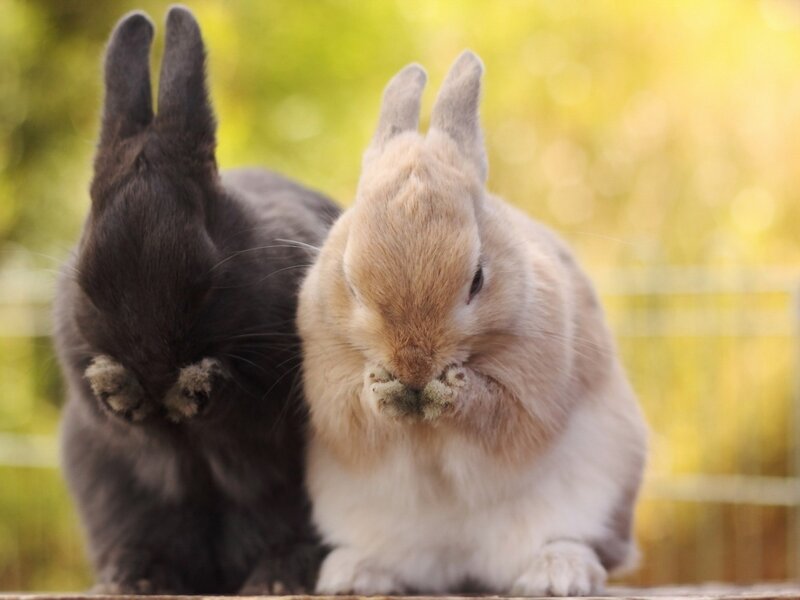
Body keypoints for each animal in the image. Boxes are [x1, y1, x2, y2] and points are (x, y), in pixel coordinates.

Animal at [54, 6, 339, 595]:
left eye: (205, 281)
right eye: (89, 285)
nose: (154, 368)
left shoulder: (276, 393)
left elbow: (244, 409)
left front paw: (194, 388)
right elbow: (115, 415)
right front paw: (118, 388)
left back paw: (278, 579)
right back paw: (132, 578)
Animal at [297, 50, 648, 596]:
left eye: (478, 278)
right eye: (351, 283)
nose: (413, 365)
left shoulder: (531, 392)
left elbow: (497, 413)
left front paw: (450, 391)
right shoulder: (329, 390)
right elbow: (356, 416)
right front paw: (383, 390)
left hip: (600, 489)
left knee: (580, 544)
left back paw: (558, 574)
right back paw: (353, 576)